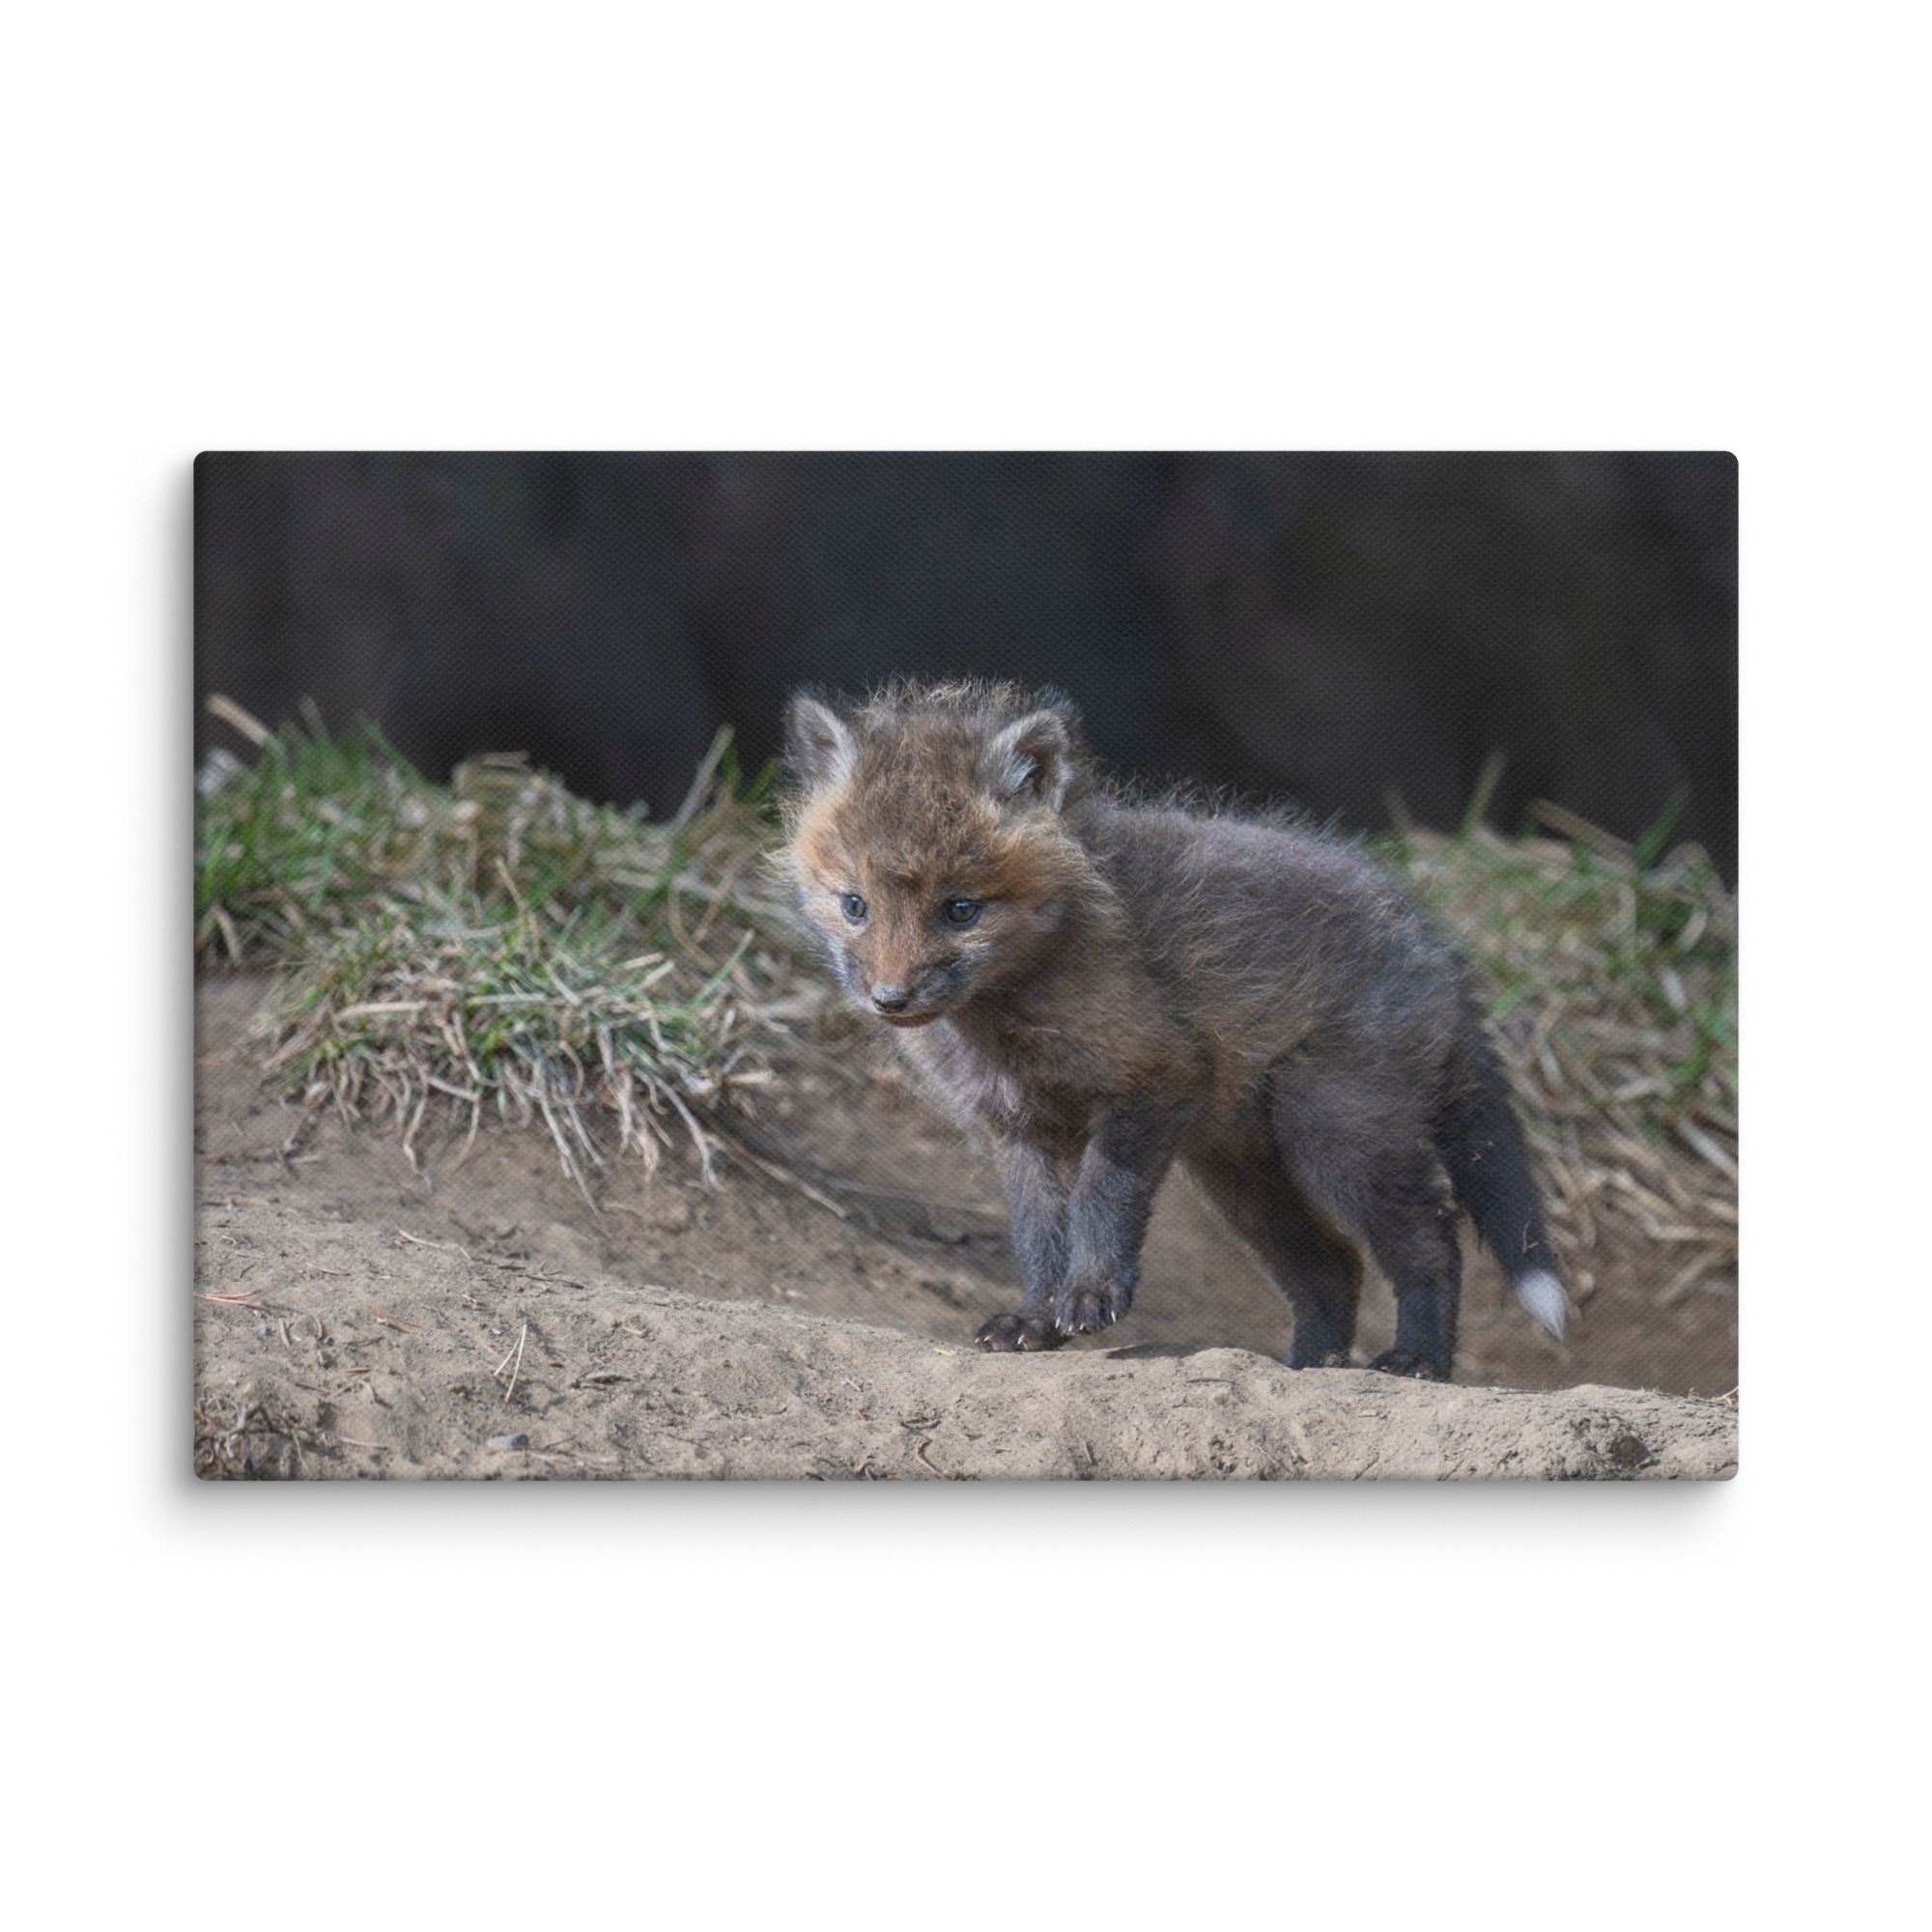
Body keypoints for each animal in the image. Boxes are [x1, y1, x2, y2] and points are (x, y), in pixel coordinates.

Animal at [780, 680, 1566, 1380]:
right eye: (854, 905)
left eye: (961, 909)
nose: (890, 999)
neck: (1006, 1024)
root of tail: (1439, 948)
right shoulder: (1018, 1127)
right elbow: (1038, 1236)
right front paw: (1034, 1319)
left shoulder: (1152, 1075)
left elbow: (1101, 1198)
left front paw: (1092, 1293)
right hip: (1242, 1175)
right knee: (1332, 1267)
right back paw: (1309, 1367)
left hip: (1336, 1135)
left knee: (1431, 1239)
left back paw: (1417, 1360)